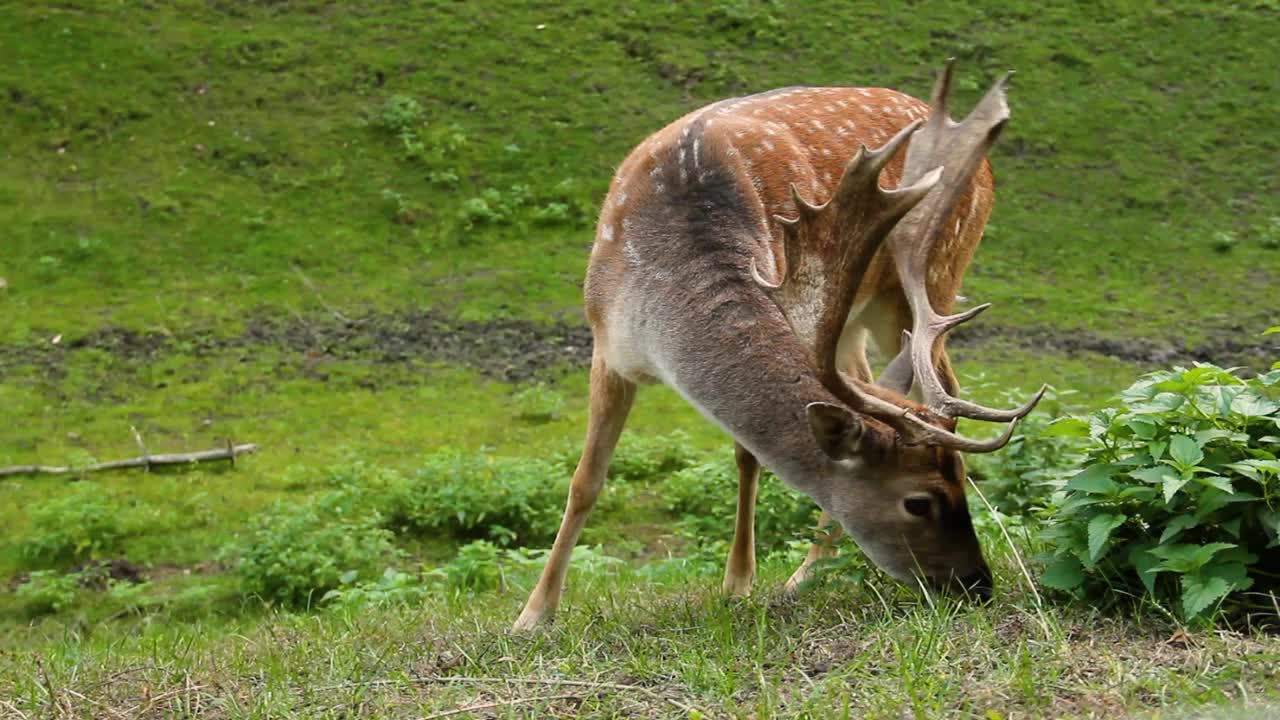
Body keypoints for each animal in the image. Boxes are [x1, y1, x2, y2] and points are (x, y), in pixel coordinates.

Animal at [514, 63, 1044, 627]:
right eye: (918, 501)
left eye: (961, 479)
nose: (978, 583)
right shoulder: (606, 345)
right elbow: (585, 480)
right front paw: (534, 614)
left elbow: (747, 458)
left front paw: (737, 583)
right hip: (851, 321)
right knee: (882, 379)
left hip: (931, 276)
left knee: (942, 380)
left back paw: (805, 574)